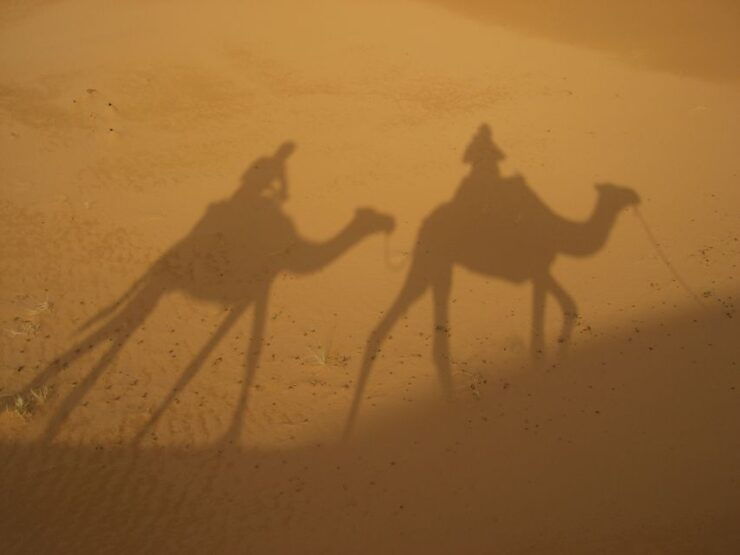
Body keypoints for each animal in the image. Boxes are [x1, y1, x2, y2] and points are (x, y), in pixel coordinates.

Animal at [20, 141, 394, 443]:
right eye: (373, 216)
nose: (392, 223)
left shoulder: (254, 293)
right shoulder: (261, 287)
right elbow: (249, 355)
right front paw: (231, 435)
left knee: (111, 332)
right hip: (155, 288)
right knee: (113, 333)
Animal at [343, 124, 639, 437]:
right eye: (618, 190)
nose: (636, 196)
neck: (558, 230)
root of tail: (425, 223)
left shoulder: (541, 272)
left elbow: (570, 304)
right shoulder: (538, 271)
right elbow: (542, 330)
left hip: (439, 268)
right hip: (431, 264)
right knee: (389, 327)